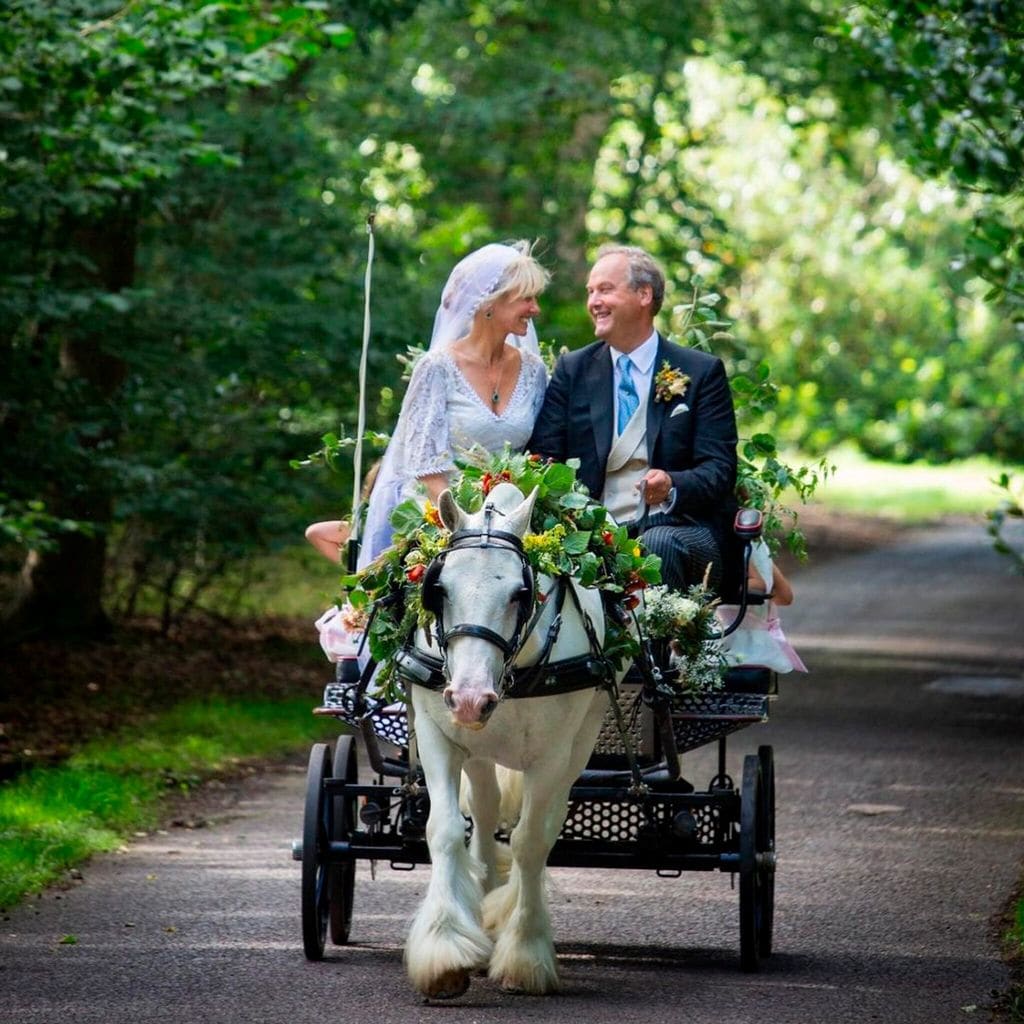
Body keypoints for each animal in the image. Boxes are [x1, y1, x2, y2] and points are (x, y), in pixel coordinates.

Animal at [405, 481, 614, 999]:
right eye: (438, 589)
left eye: (522, 593)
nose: (470, 699)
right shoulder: (437, 733)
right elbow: (443, 830)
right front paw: (445, 949)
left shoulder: (551, 755)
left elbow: (530, 842)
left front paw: (525, 952)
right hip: (479, 751)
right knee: (482, 812)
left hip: (579, 742)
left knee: (545, 824)